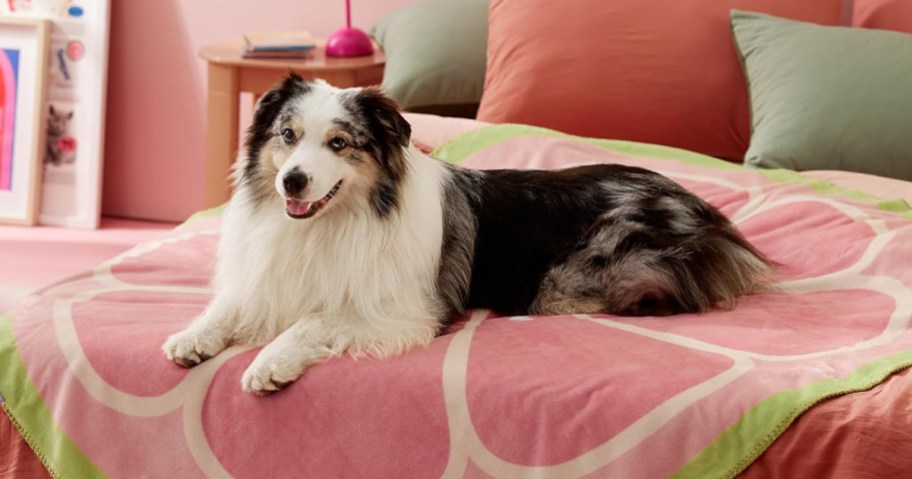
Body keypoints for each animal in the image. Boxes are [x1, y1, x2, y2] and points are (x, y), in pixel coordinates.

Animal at [162, 75, 768, 396]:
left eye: (340, 143)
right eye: (287, 135)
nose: (292, 180)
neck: (336, 222)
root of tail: (709, 214)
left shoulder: (403, 310)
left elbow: (313, 322)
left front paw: (269, 363)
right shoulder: (272, 278)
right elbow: (232, 305)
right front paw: (193, 336)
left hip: (571, 277)